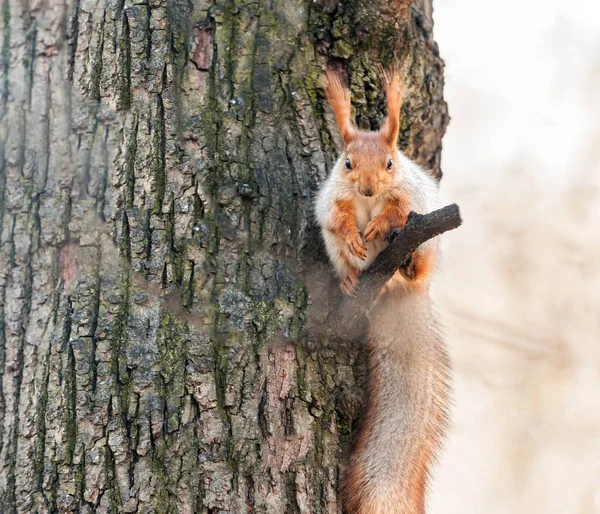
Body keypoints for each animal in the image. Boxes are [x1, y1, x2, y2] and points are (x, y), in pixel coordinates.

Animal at [314, 69, 450, 512]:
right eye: (347, 163)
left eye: (390, 162)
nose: (370, 189)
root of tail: (393, 292)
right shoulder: (333, 199)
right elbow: (338, 218)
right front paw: (356, 234)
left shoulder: (409, 198)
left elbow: (396, 211)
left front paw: (377, 225)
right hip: (337, 254)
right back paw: (350, 279)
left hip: (424, 246)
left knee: (416, 264)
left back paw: (406, 264)